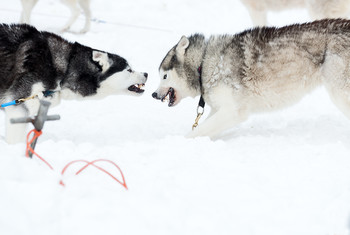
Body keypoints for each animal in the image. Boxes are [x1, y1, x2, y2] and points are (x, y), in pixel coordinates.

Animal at [153, 18, 350, 140]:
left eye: (164, 76)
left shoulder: (233, 111)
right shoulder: (220, 109)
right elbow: (205, 129)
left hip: (339, 93)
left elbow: (196, 132)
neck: (204, 64)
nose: (153, 95)